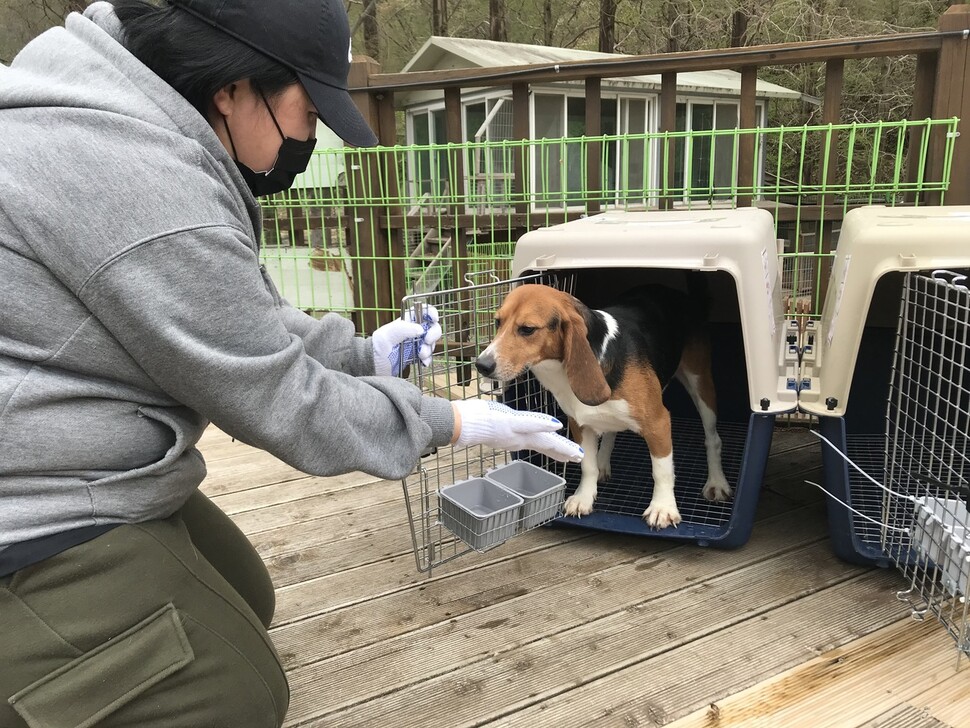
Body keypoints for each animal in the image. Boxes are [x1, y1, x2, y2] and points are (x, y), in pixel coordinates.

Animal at [472, 282, 728, 528]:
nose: (481, 365)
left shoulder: (658, 422)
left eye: (527, 329)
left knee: (712, 438)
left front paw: (663, 508)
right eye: (497, 322)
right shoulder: (579, 423)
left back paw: (716, 481)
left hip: (700, 383)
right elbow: (588, 465)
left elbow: (662, 471)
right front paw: (584, 497)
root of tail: (681, 295)